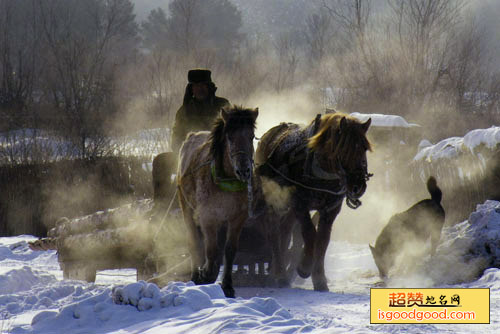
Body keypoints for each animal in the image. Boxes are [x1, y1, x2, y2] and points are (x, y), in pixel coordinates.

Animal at [177, 105, 258, 298]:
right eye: (229, 136)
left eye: (251, 136)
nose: (244, 170)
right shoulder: (208, 217)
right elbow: (211, 250)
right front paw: (205, 274)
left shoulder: (237, 219)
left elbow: (229, 250)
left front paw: (227, 285)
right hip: (187, 208)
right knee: (194, 242)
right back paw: (196, 274)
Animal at [258, 111, 372, 290]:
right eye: (343, 148)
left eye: (364, 148)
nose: (358, 185)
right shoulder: (300, 204)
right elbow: (309, 233)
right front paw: (304, 267)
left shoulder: (331, 209)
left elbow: (322, 240)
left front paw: (319, 278)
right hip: (275, 202)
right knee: (274, 233)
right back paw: (279, 273)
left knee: (285, 231)